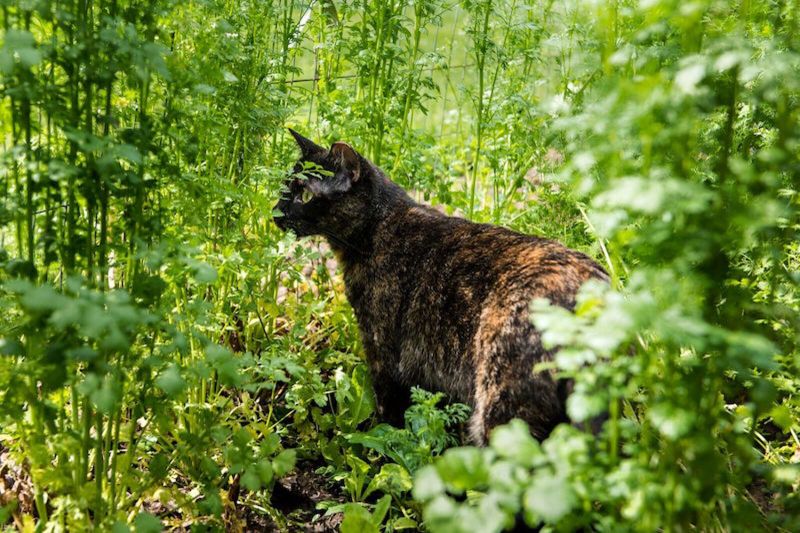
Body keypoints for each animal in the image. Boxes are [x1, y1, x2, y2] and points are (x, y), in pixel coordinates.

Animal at [276, 131, 608, 442]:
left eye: (305, 195)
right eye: (284, 187)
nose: (276, 212)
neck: (378, 227)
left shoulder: (381, 351)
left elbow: (389, 412)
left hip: (501, 404)